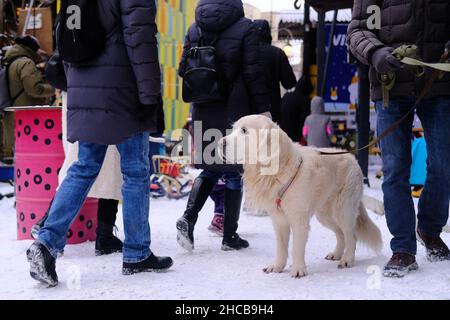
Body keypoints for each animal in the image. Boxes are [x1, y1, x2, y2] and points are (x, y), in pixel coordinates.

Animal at [220, 115, 382, 278]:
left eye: (244, 130)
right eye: (234, 128)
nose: (220, 143)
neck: (277, 172)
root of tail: (352, 157)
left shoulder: (299, 220)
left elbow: (296, 247)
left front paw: (298, 270)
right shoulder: (279, 221)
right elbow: (281, 247)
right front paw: (277, 267)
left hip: (343, 211)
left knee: (351, 235)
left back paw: (347, 259)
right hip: (325, 215)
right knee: (340, 233)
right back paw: (336, 254)